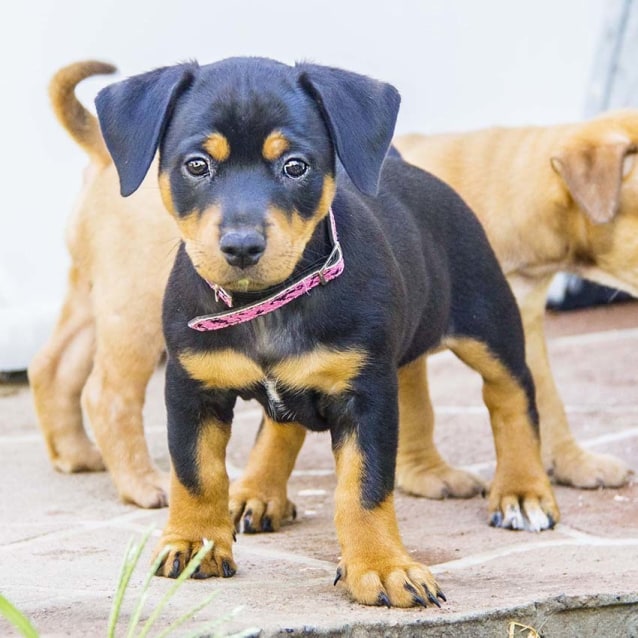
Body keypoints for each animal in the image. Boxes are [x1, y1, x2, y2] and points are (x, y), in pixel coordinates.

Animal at [27, 60, 632, 512]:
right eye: (196, 166)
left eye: (296, 166)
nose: (242, 247)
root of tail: (102, 148)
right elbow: (455, 398)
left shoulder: (503, 321)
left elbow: (536, 396)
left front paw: (568, 467)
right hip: (131, 306)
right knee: (106, 392)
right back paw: (143, 482)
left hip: (92, 297)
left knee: (52, 366)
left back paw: (76, 454)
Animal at [95, 58, 560, 608]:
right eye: (197, 165)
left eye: (295, 166)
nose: (242, 246)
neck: (267, 303)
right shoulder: (192, 388)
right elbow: (195, 473)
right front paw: (194, 543)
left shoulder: (367, 396)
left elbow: (364, 487)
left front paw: (381, 567)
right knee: (281, 424)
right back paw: (257, 492)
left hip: (488, 323)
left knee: (511, 396)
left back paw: (523, 492)